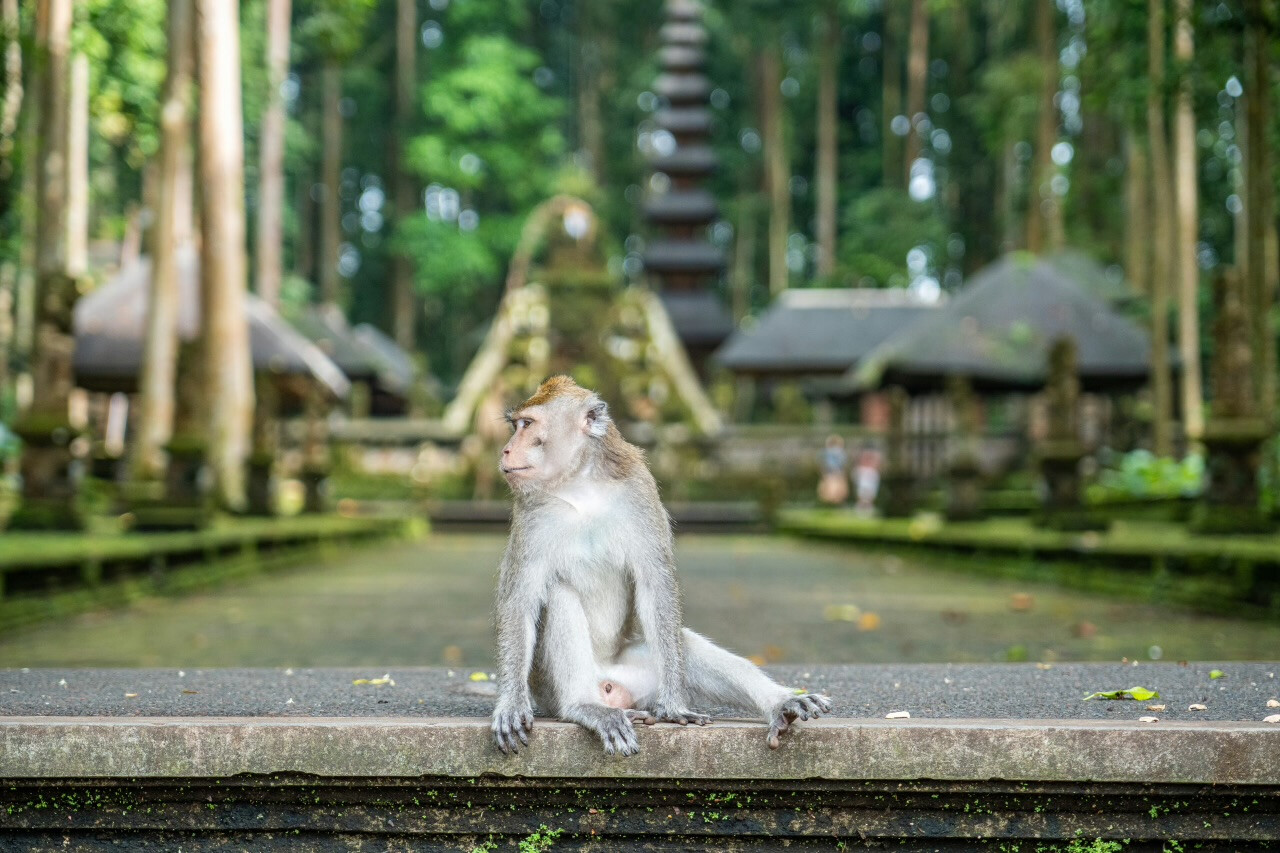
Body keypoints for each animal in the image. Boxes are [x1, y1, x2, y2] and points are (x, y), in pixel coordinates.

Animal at [491, 375, 831, 756]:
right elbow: (520, 600)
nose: (506, 450)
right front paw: (511, 704)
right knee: (559, 595)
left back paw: (780, 703)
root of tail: (611, 687)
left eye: (528, 424)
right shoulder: (531, 514)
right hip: (552, 687)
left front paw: (674, 706)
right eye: (517, 425)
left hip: (640, 671)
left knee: (685, 645)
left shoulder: (639, 491)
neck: (580, 486)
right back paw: (585, 706)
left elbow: (656, 587)